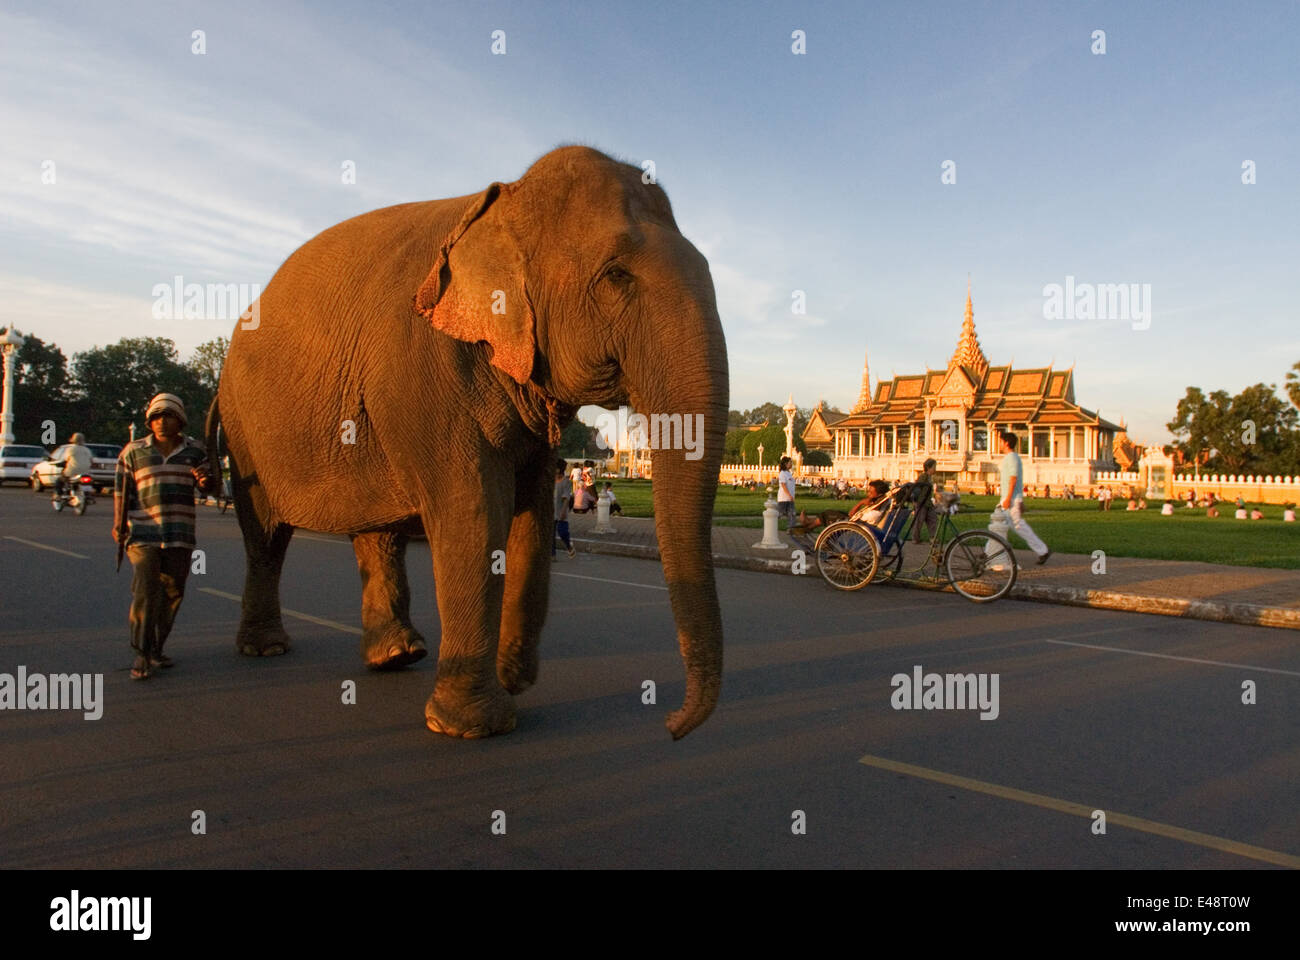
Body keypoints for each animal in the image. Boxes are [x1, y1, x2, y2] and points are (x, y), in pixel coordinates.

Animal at [206, 145, 729, 740]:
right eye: (617, 275)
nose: (670, 724)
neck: (504, 206)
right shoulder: (424, 367)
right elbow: (474, 511)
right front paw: (475, 725)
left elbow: (530, 514)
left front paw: (513, 680)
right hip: (243, 427)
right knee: (265, 532)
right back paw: (268, 649)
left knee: (376, 531)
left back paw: (397, 656)